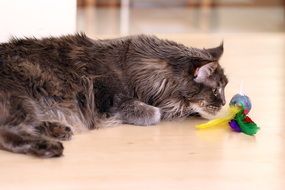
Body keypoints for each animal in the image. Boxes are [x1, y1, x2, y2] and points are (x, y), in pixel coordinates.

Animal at [0, 34, 226, 157]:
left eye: (225, 87)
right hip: (20, 100)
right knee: (7, 133)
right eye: (216, 90)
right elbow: (155, 113)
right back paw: (50, 146)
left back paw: (59, 130)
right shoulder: (109, 99)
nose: (224, 102)